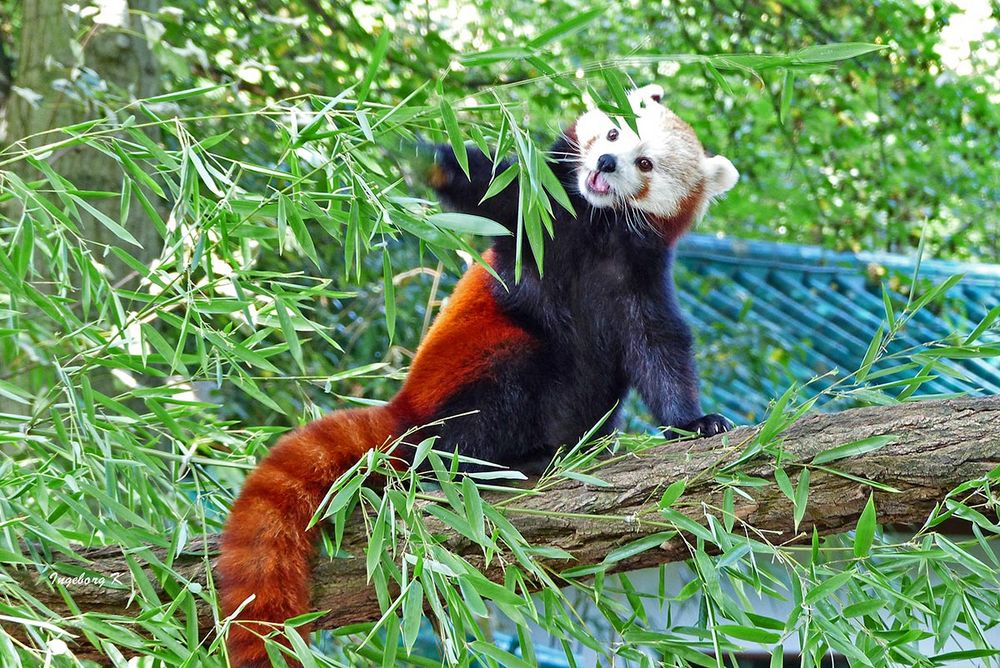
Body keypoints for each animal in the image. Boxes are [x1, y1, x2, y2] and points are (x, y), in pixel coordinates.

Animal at [219, 85, 736, 668]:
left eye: (644, 163)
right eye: (612, 133)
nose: (605, 163)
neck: (598, 231)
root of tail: (407, 411)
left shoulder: (637, 277)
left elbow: (660, 349)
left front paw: (693, 423)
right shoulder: (538, 221)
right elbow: (481, 185)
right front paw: (408, 152)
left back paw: (569, 452)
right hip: (475, 368)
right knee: (499, 390)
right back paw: (501, 464)